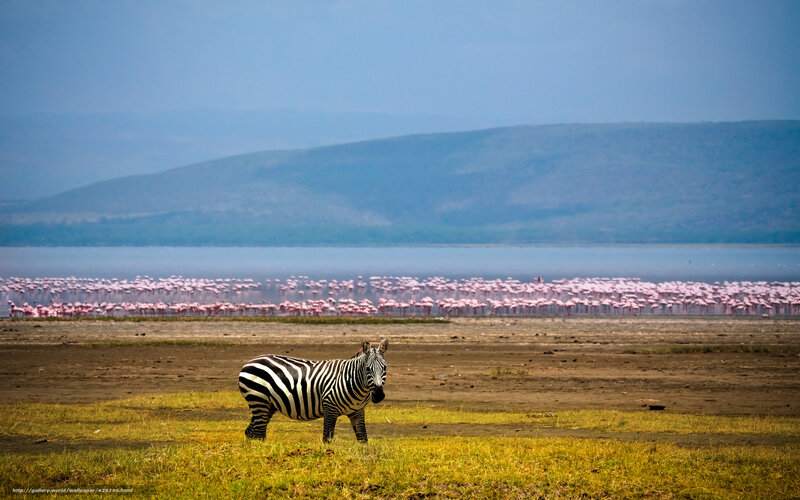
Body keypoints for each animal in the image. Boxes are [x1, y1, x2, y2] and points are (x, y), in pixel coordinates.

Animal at [238, 339, 388, 443]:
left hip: (267, 405)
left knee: (251, 431)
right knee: (258, 433)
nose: (379, 395)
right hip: (258, 400)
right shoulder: (330, 408)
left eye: (385, 368)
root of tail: (249, 362)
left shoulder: (357, 411)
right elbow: (327, 439)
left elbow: (363, 439)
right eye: (367, 369)